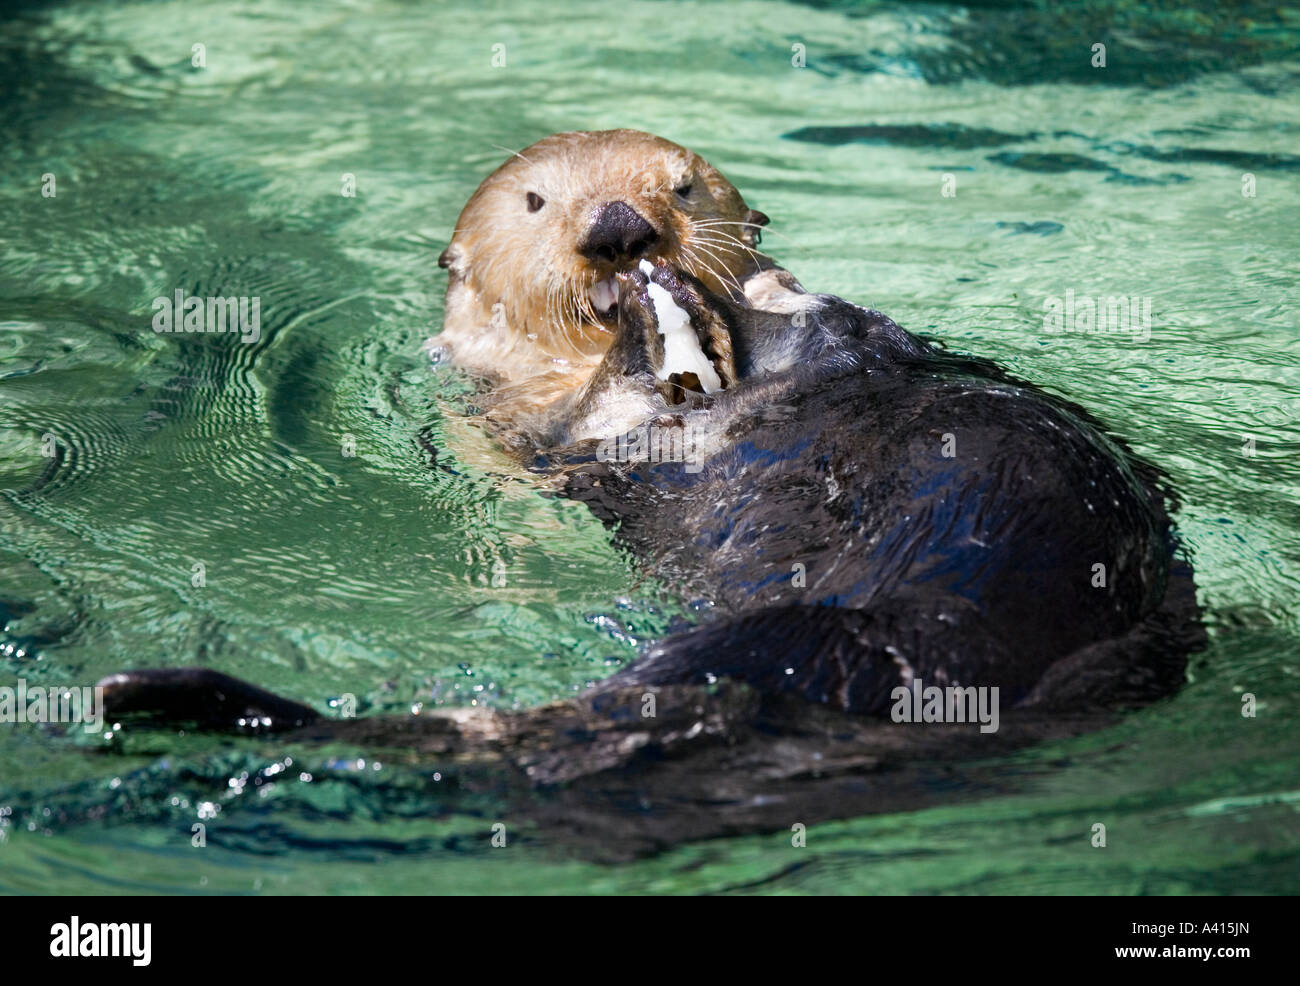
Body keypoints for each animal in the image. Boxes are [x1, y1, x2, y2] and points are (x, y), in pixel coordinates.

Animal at [98, 131, 1203, 854]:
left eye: (680, 187)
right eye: (538, 204)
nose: (626, 236)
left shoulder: (841, 351)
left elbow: (824, 336)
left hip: (800, 640)